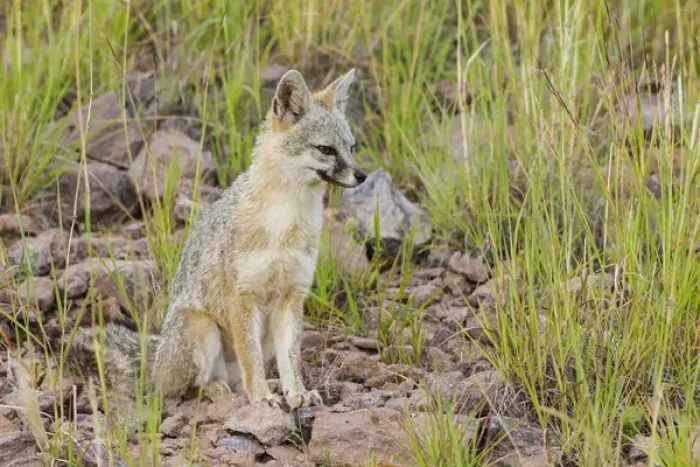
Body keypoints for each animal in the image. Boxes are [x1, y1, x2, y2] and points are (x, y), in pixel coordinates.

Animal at [47, 68, 366, 409]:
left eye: (351, 148)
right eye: (326, 150)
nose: (362, 176)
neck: (285, 224)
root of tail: (157, 356)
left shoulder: (292, 295)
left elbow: (289, 359)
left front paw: (296, 393)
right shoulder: (243, 297)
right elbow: (251, 360)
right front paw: (261, 397)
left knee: (236, 378)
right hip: (203, 328)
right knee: (180, 389)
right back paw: (216, 389)